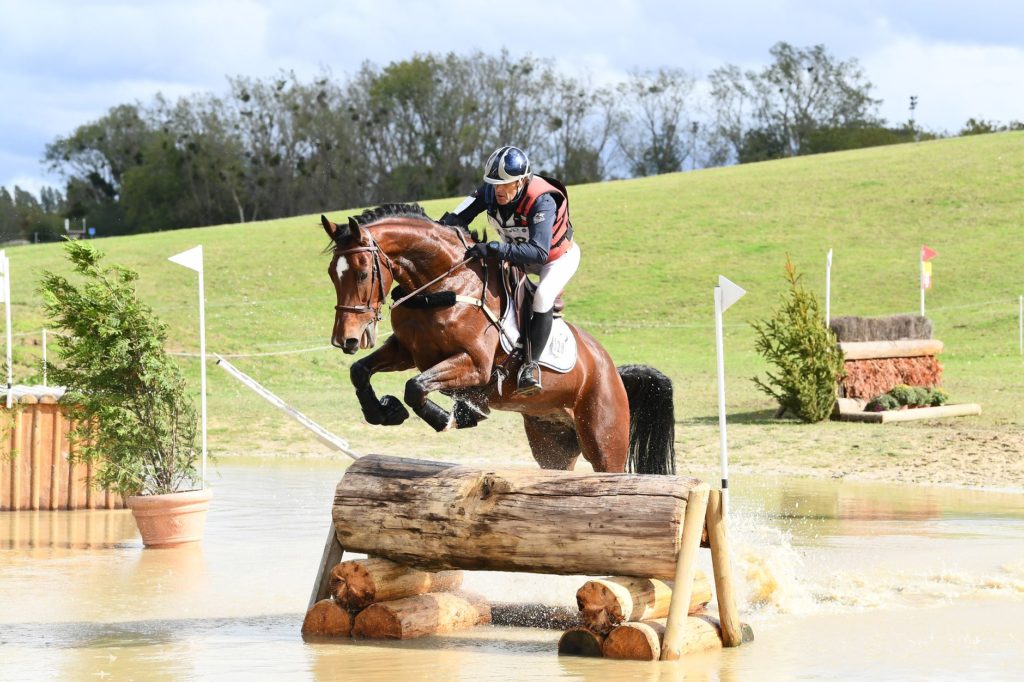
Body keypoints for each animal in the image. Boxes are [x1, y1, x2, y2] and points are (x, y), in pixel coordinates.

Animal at [323, 201, 679, 473]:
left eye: (363, 273)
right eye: (331, 274)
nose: (346, 340)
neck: (446, 284)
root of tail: (613, 372)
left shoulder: (475, 364)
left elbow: (416, 386)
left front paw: (452, 417)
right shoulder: (407, 351)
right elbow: (361, 371)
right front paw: (384, 412)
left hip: (605, 442)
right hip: (552, 444)